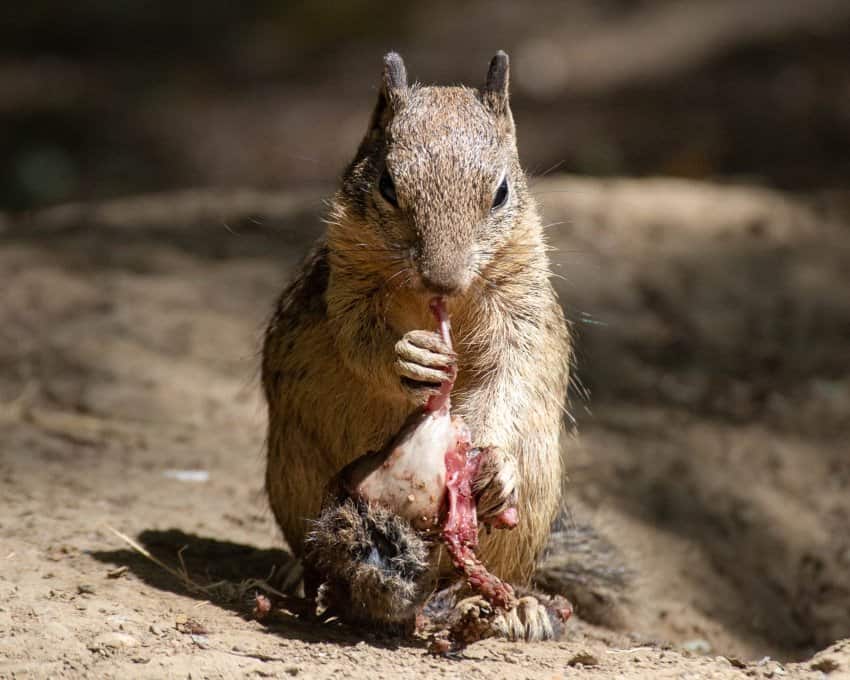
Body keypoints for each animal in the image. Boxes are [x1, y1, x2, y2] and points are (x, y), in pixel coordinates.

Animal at [260, 51, 576, 636]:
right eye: (387, 185)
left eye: (501, 192)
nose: (442, 281)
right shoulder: (347, 283)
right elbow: (357, 338)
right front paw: (409, 358)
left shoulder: (520, 305)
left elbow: (511, 373)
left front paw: (495, 465)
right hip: (295, 472)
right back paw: (301, 574)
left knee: (482, 576)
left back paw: (515, 606)